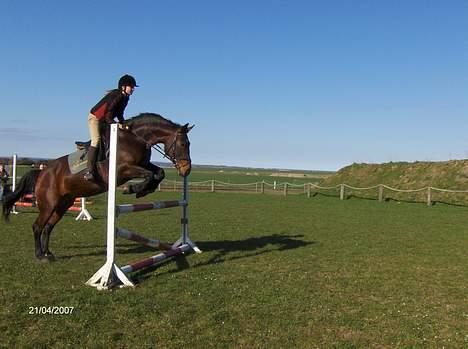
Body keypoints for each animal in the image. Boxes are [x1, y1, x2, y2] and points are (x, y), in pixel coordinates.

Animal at [1, 113, 192, 262]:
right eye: (183, 144)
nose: (186, 170)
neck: (136, 138)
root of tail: (42, 173)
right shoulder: (123, 170)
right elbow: (150, 175)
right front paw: (132, 190)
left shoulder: (143, 164)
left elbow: (159, 173)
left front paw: (143, 191)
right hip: (48, 204)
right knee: (38, 227)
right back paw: (40, 255)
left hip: (63, 204)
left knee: (48, 227)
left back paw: (48, 253)